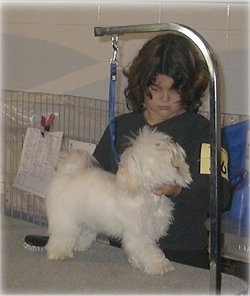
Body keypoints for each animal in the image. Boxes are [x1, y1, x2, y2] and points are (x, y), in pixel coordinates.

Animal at [45, 126, 191, 274]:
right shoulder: (138, 233)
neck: (146, 192)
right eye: (157, 145)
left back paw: (80, 245)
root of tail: (67, 172)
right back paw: (59, 252)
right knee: (62, 234)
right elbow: (147, 250)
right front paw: (160, 265)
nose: (172, 144)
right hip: (65, 217)